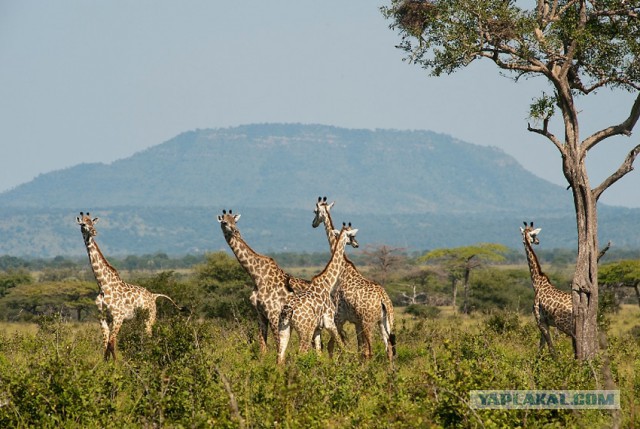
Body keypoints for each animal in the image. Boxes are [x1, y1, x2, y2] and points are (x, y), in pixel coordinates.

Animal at [78, 212, 182, 360]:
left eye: (92, 223)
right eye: (83, 224)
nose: (94, 232)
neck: (103, 285)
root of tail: (153, 296)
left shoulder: (118, 317)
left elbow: (111, 343)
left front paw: (116, 365)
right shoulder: (103, 318)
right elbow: (105, 345)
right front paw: (105, 364)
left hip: (149, 317)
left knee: (149, 336)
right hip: (139, 318)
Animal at [218, 209, 312, 352]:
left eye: (235, 221)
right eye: (224, 222)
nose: (235, 230)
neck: (257, 276)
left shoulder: (273, 314)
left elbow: (278, 345)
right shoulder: (260, 314)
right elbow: (263, 347)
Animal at [276, 222, 360, 362]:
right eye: (352, 235)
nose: (356, 244)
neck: (328, 282)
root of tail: (288, 310)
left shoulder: (317, 329)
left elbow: (319, 352)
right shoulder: (330, 321)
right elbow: (340, 344)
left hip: (284, 328)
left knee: (280, 356)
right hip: (305, 330)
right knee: (301, 352)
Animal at [314, 197, 398, 362]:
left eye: (315, 211)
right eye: (352, 236)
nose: (313, 223)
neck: (344, 269)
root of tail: (384, 299)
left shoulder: (339, 317)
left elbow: (333, 346)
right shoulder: (356, 322)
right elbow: (359, 350)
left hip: (368, 322)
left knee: (371, 350)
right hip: (385, 322)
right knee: (389, 350)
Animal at [520, 222, 576, 352]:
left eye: (534, 234)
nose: (538, 241)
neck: (537, 283)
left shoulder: (540, 320)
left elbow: (551, 348)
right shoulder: (545, 322)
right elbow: (540, 349)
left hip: (564, 324)